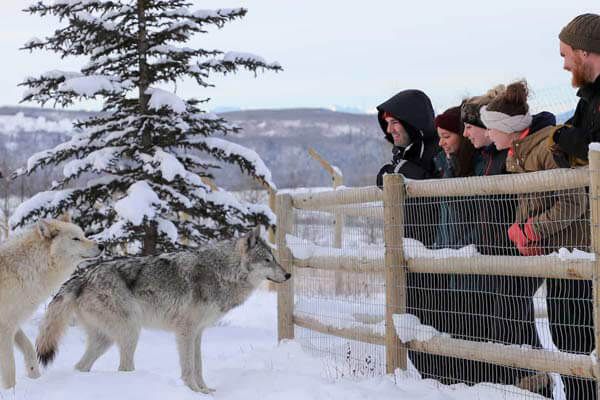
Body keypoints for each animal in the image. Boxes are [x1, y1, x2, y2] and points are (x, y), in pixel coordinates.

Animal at [0, 217, 102, 390]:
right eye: (76, 238)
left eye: (83, 235)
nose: (101, 246)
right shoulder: (5, 328)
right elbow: (9, 369)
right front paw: (10, 391)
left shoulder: (12, 323)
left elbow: (29, 348)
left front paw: (35, 377)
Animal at [36, 228, 292, 394]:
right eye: (268, 260)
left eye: (274, 258)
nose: (289, 274)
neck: (221, 272)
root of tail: (83, 276)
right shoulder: (185, 331)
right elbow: (188, 368)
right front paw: (193, 392)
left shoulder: (198, 333)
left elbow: (198, 365)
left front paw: (205, 390)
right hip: (131, 332)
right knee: (123, 368)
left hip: (106, 340)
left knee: (80, 367)